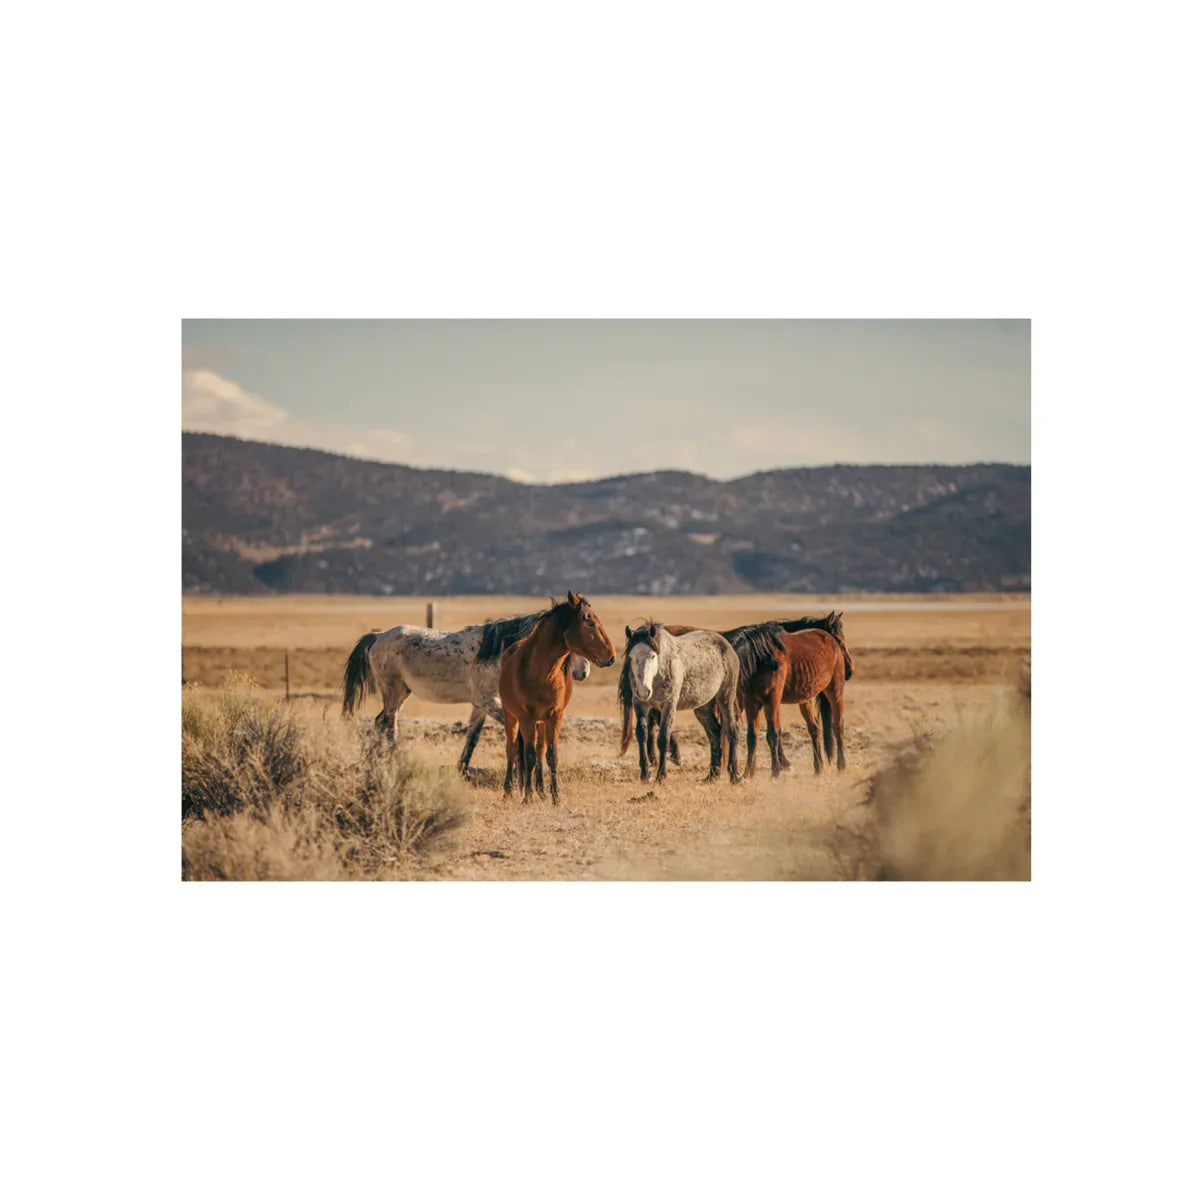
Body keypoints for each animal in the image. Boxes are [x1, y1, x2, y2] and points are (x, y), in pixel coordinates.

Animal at [341, 610, 591, 772]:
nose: (584, 671)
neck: (498, 652)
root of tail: (377, 636)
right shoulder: (486, 700)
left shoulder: (480, 705)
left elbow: (473, 736)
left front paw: (462, 768)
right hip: (393, 692)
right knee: (390, 726)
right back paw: (395, 763)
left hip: (401, 692)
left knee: (380, 722)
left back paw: (374, 762)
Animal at [500, 592, 616, 804]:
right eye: (589, 622)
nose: (611, 656)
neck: (540, 672)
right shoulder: (526, 718)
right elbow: (528, 755)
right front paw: (527, 796)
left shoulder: (555, 716)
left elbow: (551, 756)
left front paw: (556, 797)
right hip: (511, 717)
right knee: (511, 749)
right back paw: (509, 791)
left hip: (540, 722)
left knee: (539, 750)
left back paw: (541, 790)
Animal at [620, 622, 742, 784]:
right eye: (631, 657)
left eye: (653, 656)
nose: (644, 691)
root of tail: (727, 645)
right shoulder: (640, 704)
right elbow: (642, 734)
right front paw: (645, 774)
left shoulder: (669, 705)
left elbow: (663, 737)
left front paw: (661, 776)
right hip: (702, 707)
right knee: (714, 732)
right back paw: (712, 775)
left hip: (725, 698)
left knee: (732, 731)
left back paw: (735, 775)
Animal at [743, 616, 856, 778]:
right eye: (840, 640)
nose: (850, 671)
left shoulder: (770, 700)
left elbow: (773, 731)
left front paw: (780, 766)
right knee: (819, 726)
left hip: (833, 692)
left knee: (836, 724)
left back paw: (839, 767)